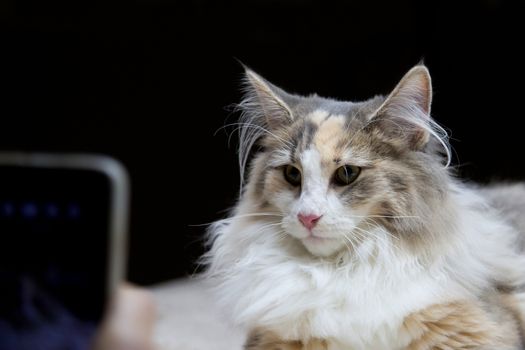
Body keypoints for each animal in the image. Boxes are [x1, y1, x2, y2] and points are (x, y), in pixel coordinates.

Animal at [203, 65, 524, 350]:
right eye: (292, 174)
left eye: (347, 173)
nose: (308, 217)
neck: (340, 271)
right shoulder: (275, 338)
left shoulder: (470, 327)